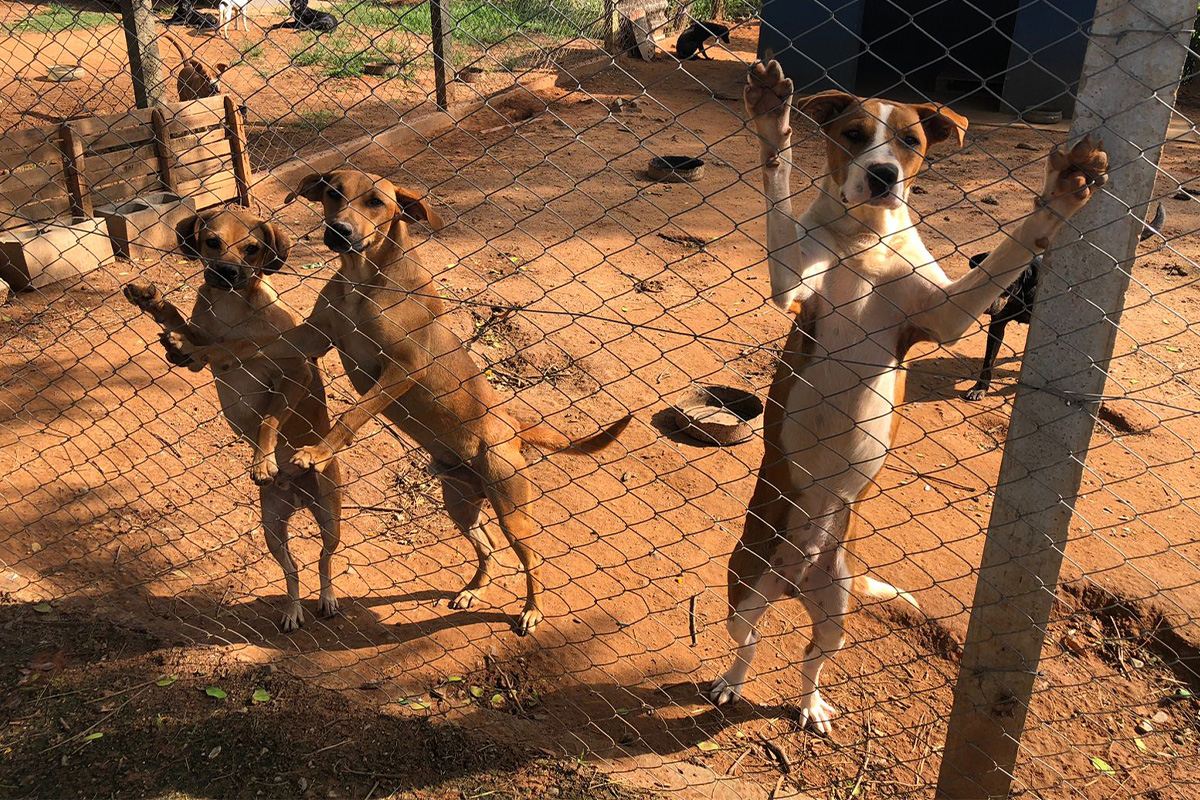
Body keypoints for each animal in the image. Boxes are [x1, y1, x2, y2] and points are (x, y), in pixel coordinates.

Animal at [123, 209, 343, 633]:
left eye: (252, 248)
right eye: (212, 241)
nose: (226, 272)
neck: (231, 309)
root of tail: (297, 493)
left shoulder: (295, 371)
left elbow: (267, 416)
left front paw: (262, 461)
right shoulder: (202, 353)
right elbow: (190, 331)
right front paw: (154, 303)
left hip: (330, 518)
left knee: (324, 561)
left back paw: (326, 598)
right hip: (272, 529)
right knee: (292, 571)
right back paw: (292, 610)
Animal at [705, 62, 1108, 734]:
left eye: (910, 142)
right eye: (853, 134)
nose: (883, 175)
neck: (865, 238)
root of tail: (797, 577)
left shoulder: (943, 316)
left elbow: (1009, 253)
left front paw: (1062, 195)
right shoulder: (794, 286)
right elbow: (777, 190)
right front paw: (771, 122)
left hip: (836, 608)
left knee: (812, 656)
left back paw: (811, 705)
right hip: (745, 584)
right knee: (750, 641)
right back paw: (732, 683)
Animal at [964, 200, 1161, 400]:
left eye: (1008, 284)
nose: (985, 306)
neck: (1020, 296)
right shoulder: (997, 323)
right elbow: (988, 360)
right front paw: (980, 387)